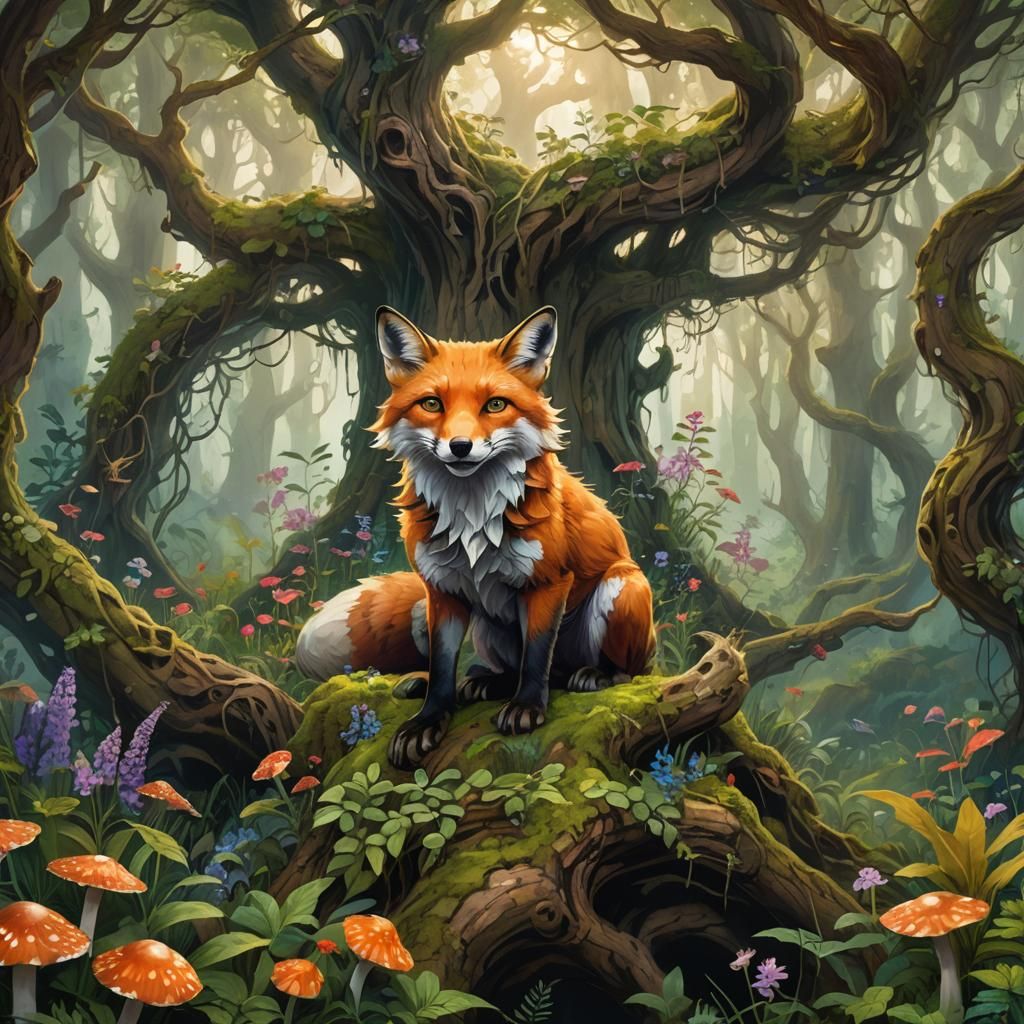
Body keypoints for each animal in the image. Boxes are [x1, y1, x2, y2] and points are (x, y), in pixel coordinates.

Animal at [296, 305, 655, 770]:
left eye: (495, 404)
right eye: (432, 403)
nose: (461, 446)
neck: (472, 515)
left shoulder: (548, 582)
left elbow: (536, 655)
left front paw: (527, 707)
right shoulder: (441, 591)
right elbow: (443, 666)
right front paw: (428, 719)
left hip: (622, 586)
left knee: (618, 671)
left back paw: (594, 674)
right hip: (470, 621)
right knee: (493, 669)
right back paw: (480, 683)